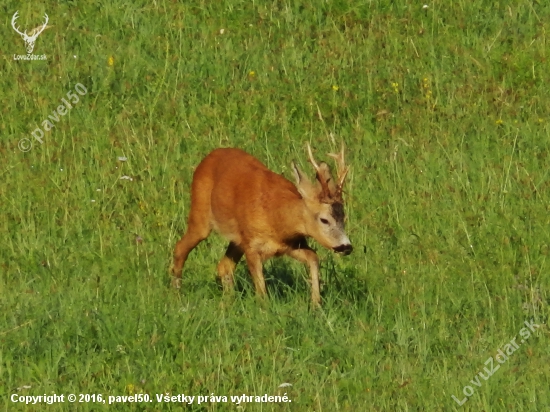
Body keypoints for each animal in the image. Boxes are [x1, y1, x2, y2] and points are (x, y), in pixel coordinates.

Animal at [170, 143, 356, 304]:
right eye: (324, 219)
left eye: (344, 217)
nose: (346, 246)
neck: (277, 220)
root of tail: (208, 157)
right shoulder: (252, 245)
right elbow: (261, 290)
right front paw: (264, 309)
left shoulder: (292, 244)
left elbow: (313, 257)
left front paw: (316, 303)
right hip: (200, 214)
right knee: (180, 248)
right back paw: (177, 294)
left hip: (237, 239)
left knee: (224, 266)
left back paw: (228, 301)